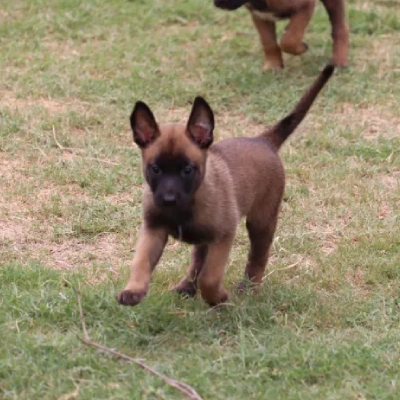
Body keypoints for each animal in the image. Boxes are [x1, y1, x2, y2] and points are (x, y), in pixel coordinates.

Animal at [116, 64, 334, 308]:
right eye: (155, 169)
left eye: (187, 170)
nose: (168, 200)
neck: (187, 205)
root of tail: (263, 140)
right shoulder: (153, 228)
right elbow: (141, 262)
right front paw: (134, 289)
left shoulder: (223, 235)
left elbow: (210, 276)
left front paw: (217, 297)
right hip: (208, 236)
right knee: (198, 259)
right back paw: (186, 286)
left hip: (261, 221)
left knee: (258, 256)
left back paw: (249, 287)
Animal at [214, 0, 348, 70]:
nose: (217, 4)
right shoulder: (260, 16)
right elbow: (268, 42)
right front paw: (273, 65)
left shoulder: (305, 7)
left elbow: (289, 39)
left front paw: (301, 47)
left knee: (340, 28)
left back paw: (339, 61)